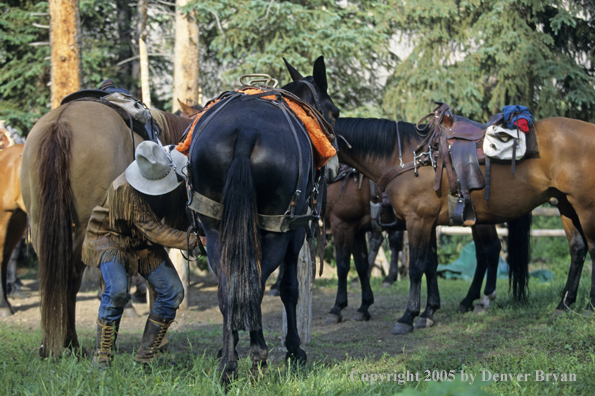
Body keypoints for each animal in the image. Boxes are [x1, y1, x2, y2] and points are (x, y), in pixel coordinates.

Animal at [19, 101, 192, 356]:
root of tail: (61, 123)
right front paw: (158, 342)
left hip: (41, 222)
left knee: (53, 280)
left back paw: (52, 345)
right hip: (83, 227)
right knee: (72, 276)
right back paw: (71, 342)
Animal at [189, 56, 342, 384]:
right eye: (334, 113)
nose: (336, 166)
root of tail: (246, 132)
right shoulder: (294, 235)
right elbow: (288, 289)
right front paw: (293, 350)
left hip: (216, 228)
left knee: (229, 288)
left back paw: (229, 363)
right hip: (276, 232)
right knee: (255, 285)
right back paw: (258, 356)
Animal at [326, 159, 532, 326]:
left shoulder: (343, 224)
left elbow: (344, 266)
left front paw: (338, 308)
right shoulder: (357, 228)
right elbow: (361, 265)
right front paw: (364, 306)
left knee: (492, 249)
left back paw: (484, 299)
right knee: (482, 255)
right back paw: (468, 300)